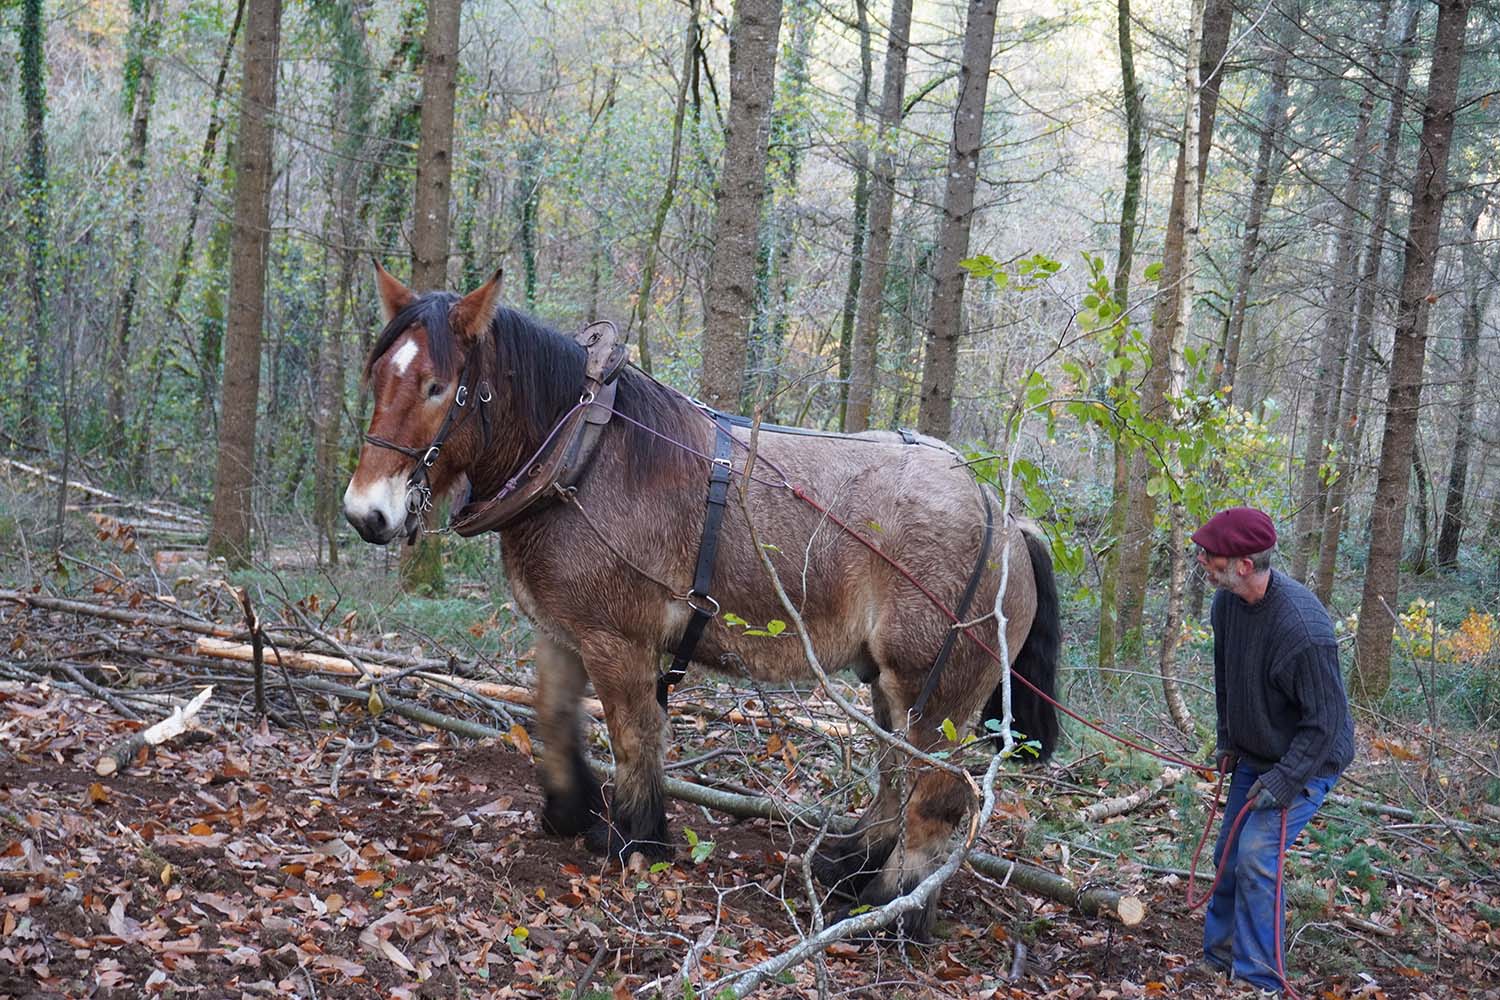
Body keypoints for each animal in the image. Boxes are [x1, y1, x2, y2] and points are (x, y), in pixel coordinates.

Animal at [345, 268, 1062, 941]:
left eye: (438, 386)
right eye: (378, 374)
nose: (365, 514)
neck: (584, 457)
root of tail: (1006, 520)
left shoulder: (618, 641)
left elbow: (635, 735)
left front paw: (634, 837)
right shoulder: (562, 631)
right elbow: (554, 716)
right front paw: (571, 811)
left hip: (935, 692)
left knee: (935, 795)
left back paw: (894, 909)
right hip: (894, 685)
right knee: (895, 776)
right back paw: (849, 866)